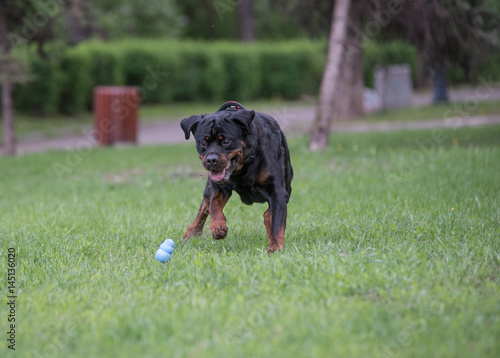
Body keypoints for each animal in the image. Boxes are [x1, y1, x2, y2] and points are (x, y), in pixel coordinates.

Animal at [181, 100, 292, 252]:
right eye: (203, 142)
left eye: (226, 141)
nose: (211, 160)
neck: (243, 166)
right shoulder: (218, 186)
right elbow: (213, 204)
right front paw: (217, 225)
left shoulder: (277, 192)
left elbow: (277, 222)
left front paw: (275, 248)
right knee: (204, 206)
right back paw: (191, 232)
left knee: (269, 214)